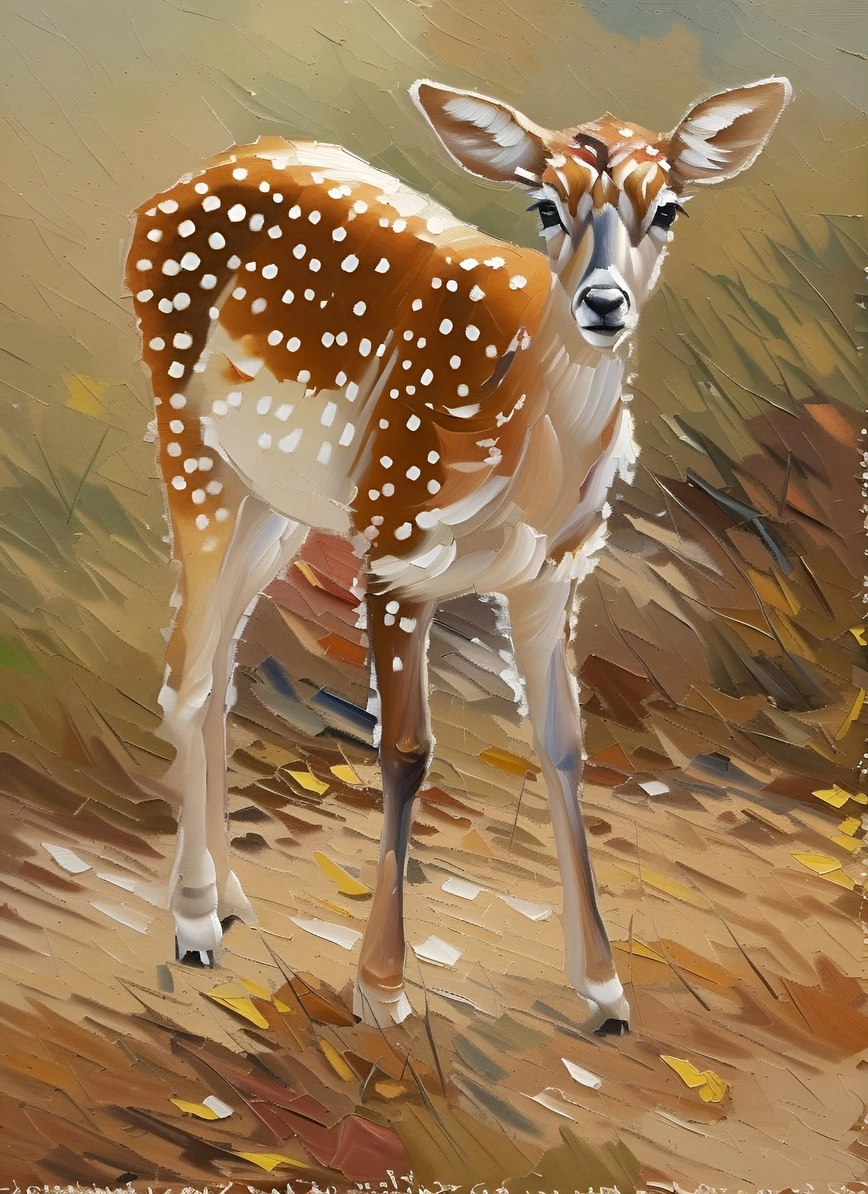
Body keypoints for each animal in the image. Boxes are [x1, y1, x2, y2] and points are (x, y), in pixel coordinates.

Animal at [126, 75, 791, 1034]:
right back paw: (192, 924)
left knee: (218, 666)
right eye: (545, 203)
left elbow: (563, 744)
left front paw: (604, 991)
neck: (529, 452)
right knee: (187, 668)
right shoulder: (394, 545)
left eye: (668, 206)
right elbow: (405, 749)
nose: (603, 303)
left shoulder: (554, 576)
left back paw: (231, 899)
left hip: (278, 505)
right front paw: (380, 989)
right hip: (189, 442)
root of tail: (175, 187)